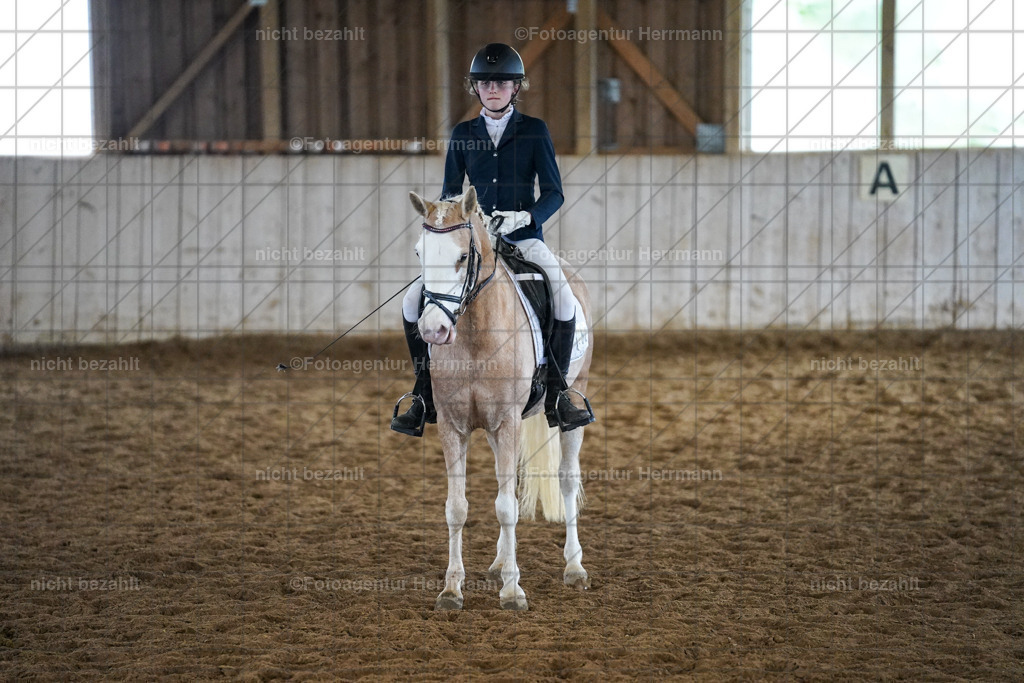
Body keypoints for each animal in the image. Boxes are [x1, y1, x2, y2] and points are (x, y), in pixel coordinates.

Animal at [406, 186, 592, 611]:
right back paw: (498, 562)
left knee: (567, 478)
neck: (475, 334)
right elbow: (457, 508)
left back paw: (574, 567)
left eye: (463, 256)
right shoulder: (454, 425)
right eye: (420, 253)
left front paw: (512, 591)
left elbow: (507, 506)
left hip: (574, 399)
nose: (433, 330)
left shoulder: (508, 421)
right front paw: (451, 589)